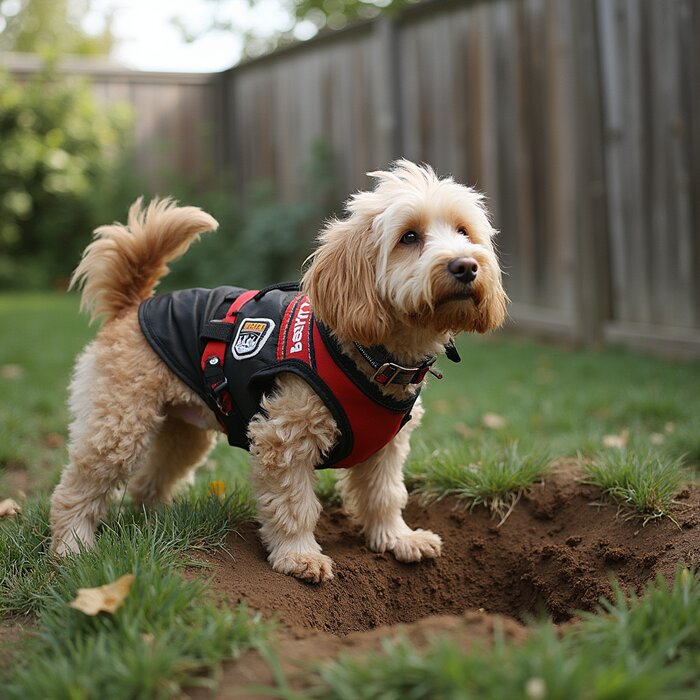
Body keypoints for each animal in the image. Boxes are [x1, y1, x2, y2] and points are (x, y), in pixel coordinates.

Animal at [50, 161, 508, 584]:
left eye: (464, 232)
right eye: (409, 237)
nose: (466, 266)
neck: (374, 358)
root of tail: (134, 306)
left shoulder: (386, 449)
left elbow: (385, 496)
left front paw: (398, 539)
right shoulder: (284, 439)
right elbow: (294, 506)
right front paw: (299, 556)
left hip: (184, 432)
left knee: (148, 483)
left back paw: (157, 522)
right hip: (119, 426)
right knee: (76, 488)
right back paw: (72, 547)